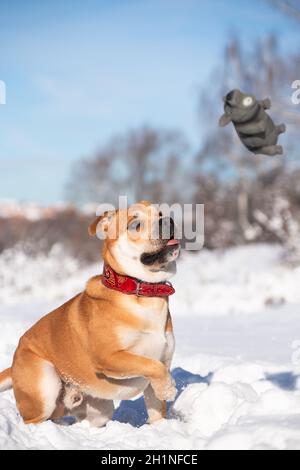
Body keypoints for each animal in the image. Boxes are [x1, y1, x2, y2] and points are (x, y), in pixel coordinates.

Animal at [0, 200, 180, 428]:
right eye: (135, 224)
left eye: (161, 213)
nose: (168, 221)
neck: (141, 292)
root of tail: (14, 361)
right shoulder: (109, 356)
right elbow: (150, 364)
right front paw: (169, 387)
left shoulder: (162, 361)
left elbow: (156, 406)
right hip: (45, 383)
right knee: (35, 420)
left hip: (98, 410)